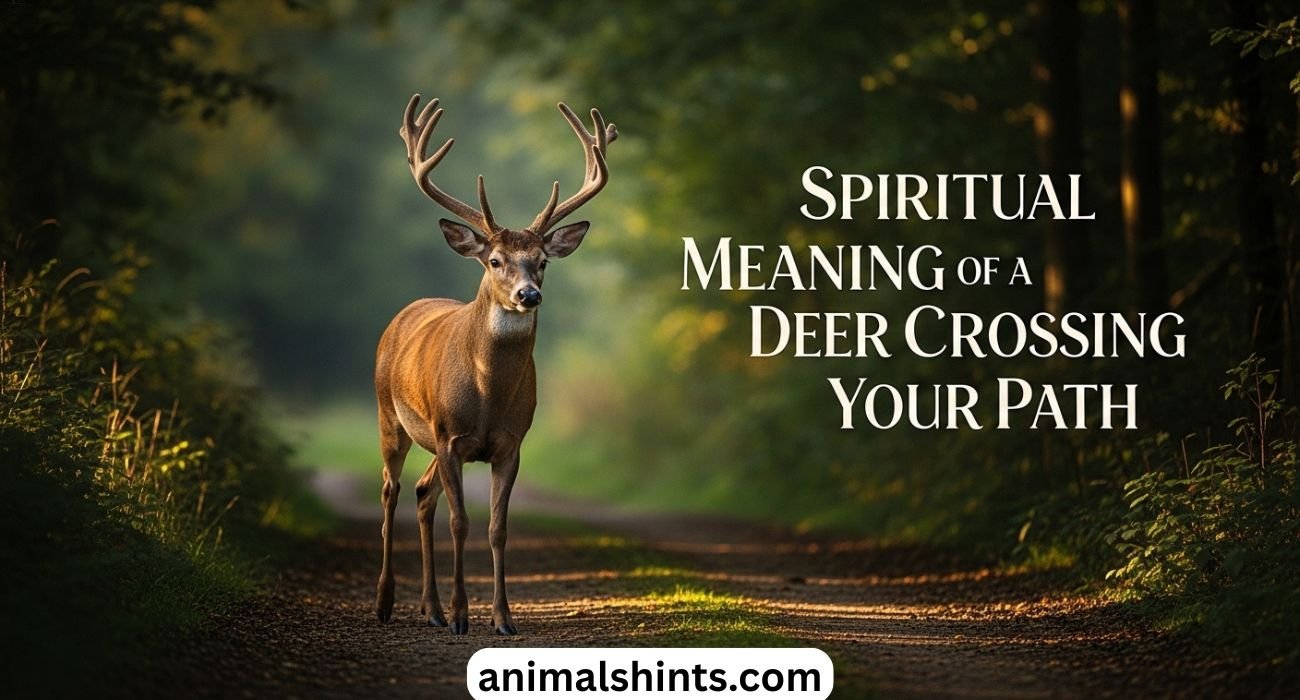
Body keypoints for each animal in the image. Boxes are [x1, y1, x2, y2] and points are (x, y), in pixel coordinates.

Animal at [373, 94, 615, 635]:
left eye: (542, 261)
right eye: (495, 261)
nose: (529, 295)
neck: (487, 395)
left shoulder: (509, 442)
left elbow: (497, 527)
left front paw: (502, 618)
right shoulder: (450, 437)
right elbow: (461, 523)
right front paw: (464, 616)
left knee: (422, 494)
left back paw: (431, 609)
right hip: (390, 416)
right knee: (391, 490)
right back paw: (385, 602)